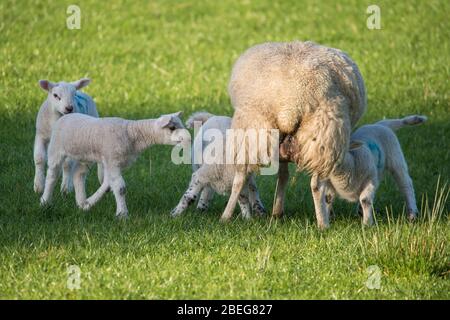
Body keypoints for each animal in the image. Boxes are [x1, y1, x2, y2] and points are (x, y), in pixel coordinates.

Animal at [39, 111, 185, 219]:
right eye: (172, 128)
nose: (186, 138)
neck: (131, 133)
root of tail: (66, 116)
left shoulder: (115, 163)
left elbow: (108, 184)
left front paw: (90, 202)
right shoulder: (112, 160)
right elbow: (120, 188)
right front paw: (122, 214)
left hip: (85, 156)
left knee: (78, 174)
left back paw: (81, 203)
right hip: (56, 148)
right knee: (52, 175)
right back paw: (45, 201)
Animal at [223, 41, 368, 229]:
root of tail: (290, 104)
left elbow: (283, 175)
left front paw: (277, 211)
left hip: (255, 127)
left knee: (240, 175)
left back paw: (226, 216)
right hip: (322, 134)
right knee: (316, 185)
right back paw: (323, 223)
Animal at [280, 114, 428, 226]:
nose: (288, 139)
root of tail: (380, 124)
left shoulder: (370, 179)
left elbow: (365, 199)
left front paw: (367, 224)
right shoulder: (328, 182)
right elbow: (327, 198)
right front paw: (326, 219)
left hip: (395, 157)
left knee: (406, 184)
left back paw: (412, 214)